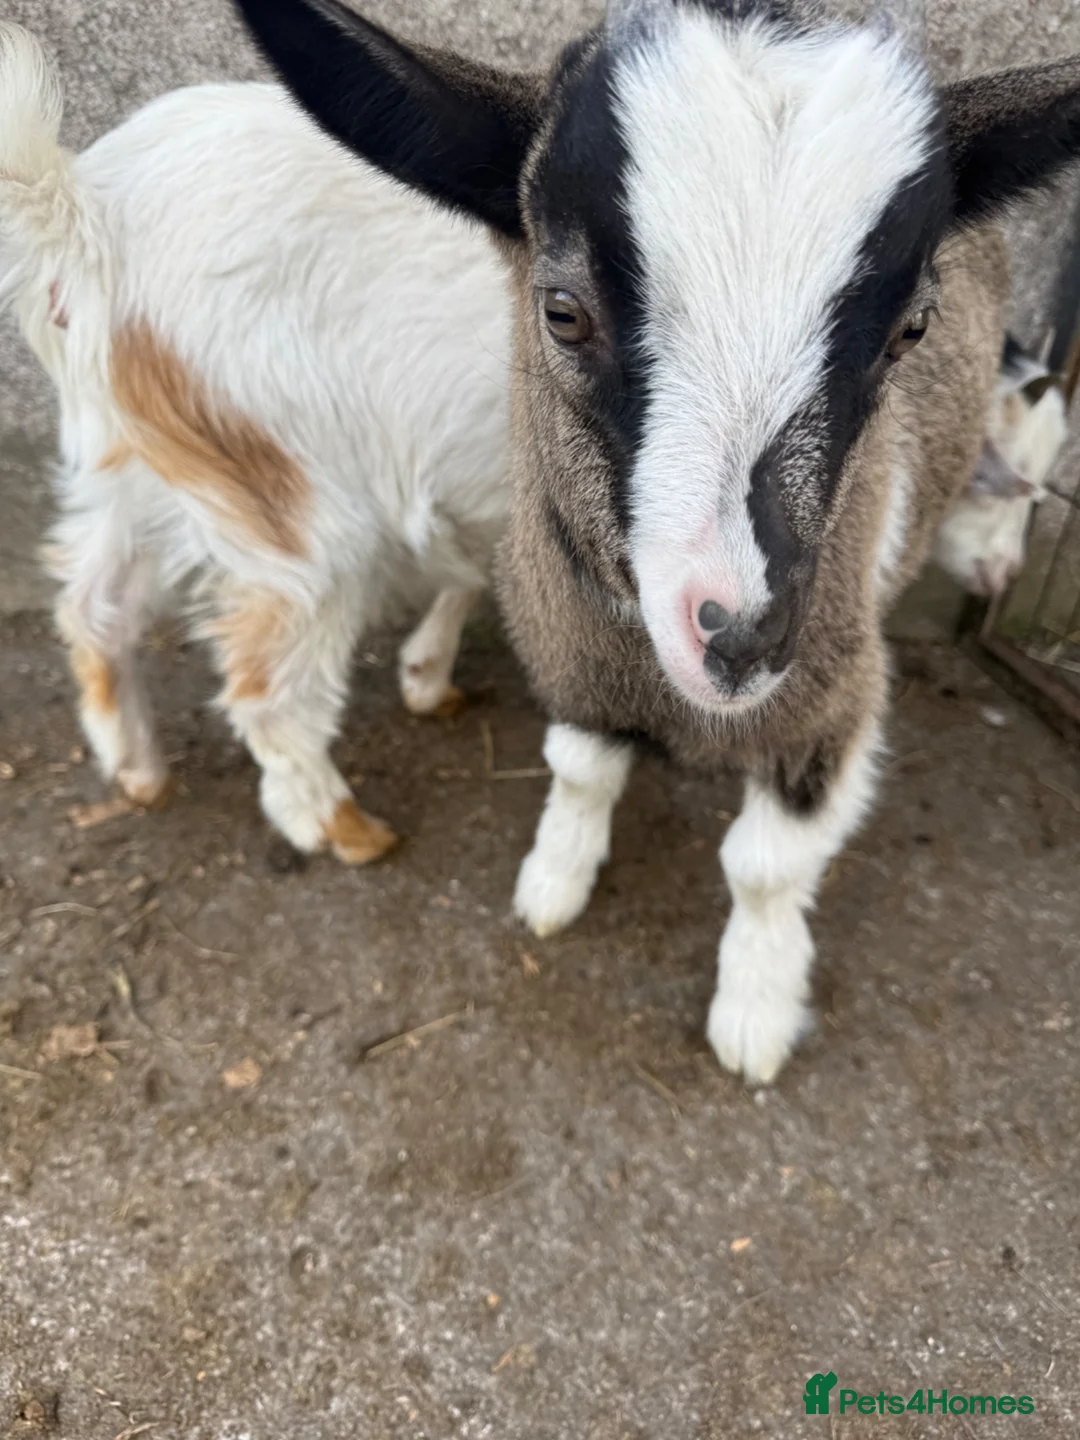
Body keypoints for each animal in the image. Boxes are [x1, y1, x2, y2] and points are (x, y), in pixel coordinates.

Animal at [0, 25, 508, 862]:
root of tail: (90, 218)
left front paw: (427, 674)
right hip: (296, 490)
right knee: (267, 686)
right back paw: (337, 824)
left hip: (147, 455)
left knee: (93, 603)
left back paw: (138, 765)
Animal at [235, 0, 1080, 1083]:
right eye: (562, 312)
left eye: (911, 331)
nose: (741, 633)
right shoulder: (572, 650)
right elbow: (579, 769)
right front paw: (554, 883)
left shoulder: (831, 697)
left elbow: (766, 867)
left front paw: (755, 1012)